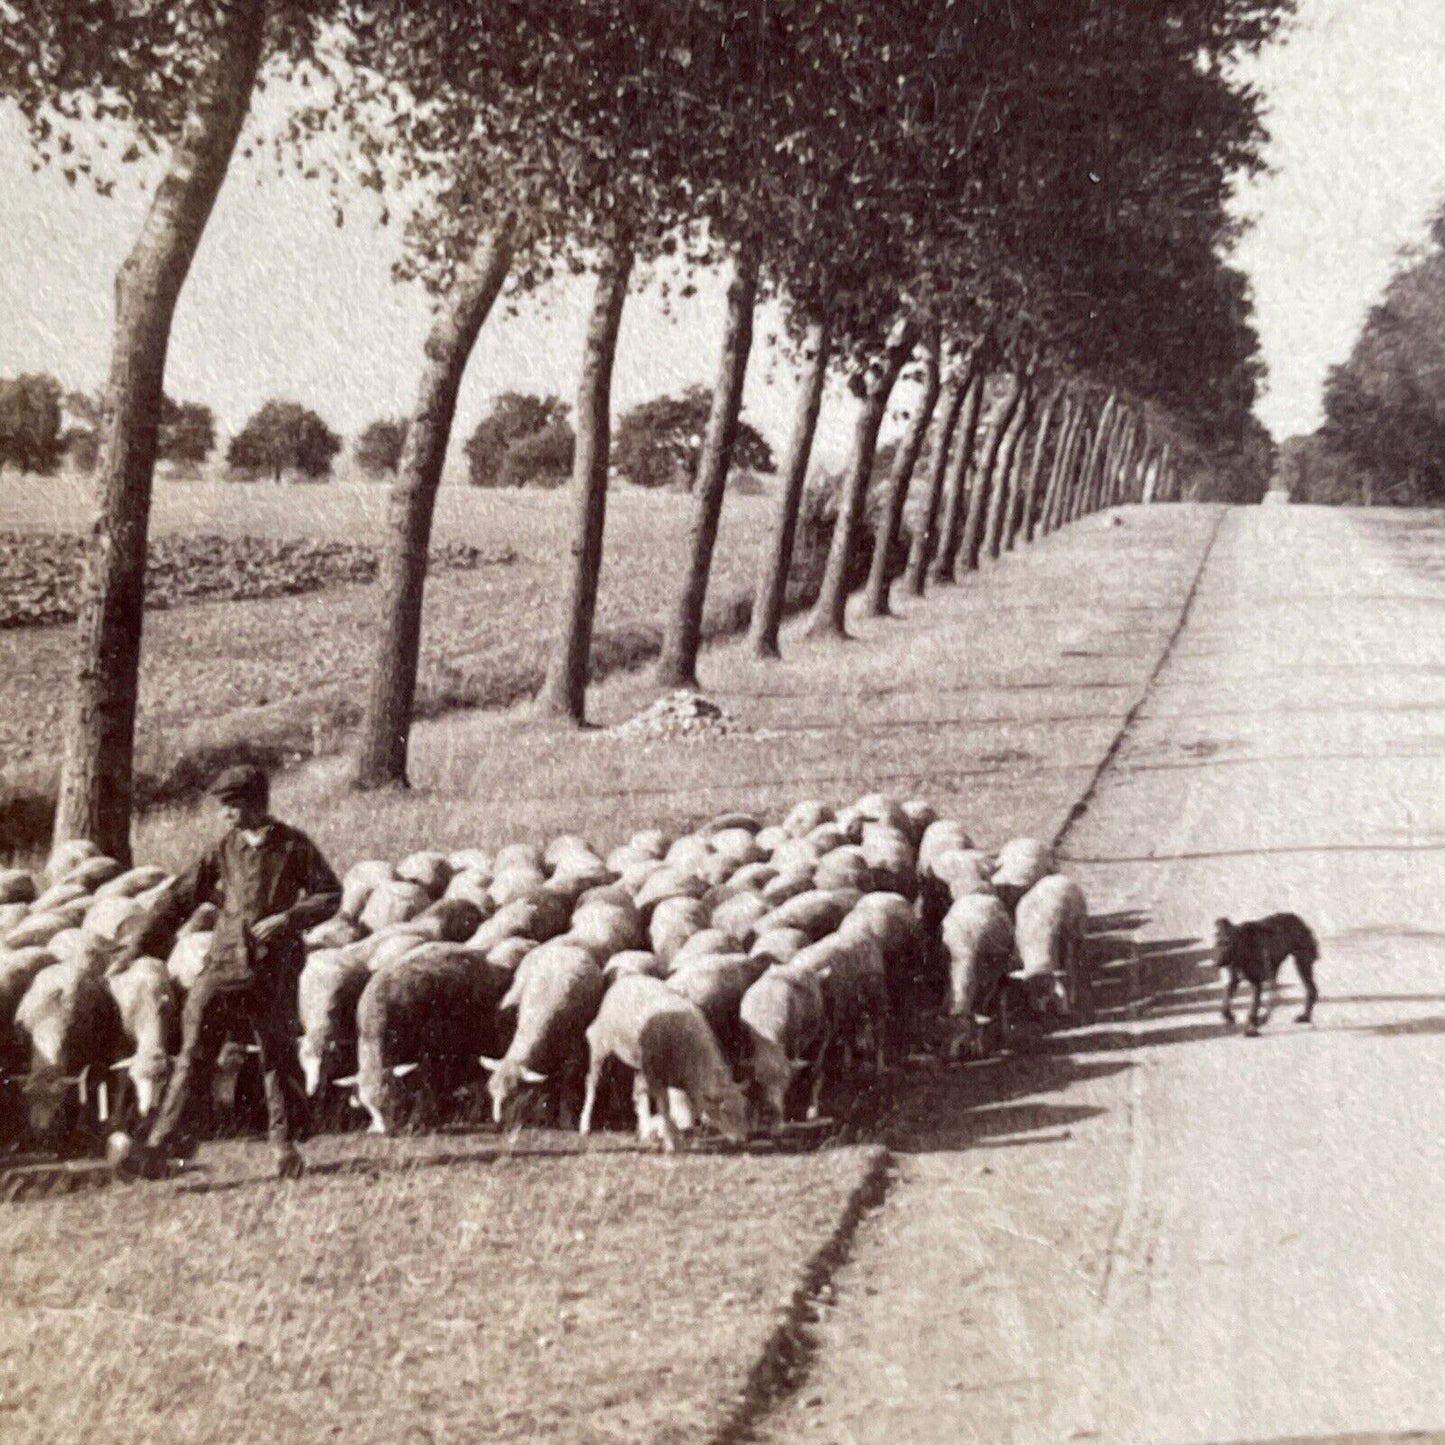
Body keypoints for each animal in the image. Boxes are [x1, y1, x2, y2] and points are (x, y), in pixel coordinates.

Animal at [578, 971, 751, 1150]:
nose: (743, 1140)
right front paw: (669, 1141)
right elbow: (664, 1107)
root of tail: (626, 979)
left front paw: (679, 1135)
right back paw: (585, 1125)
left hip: (639, 1063)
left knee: (638, 1093)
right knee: (592, 1082)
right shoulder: (657, 1076)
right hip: (601, 1046)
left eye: (745, 1108)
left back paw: (645, 1130)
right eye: (724, 1110)